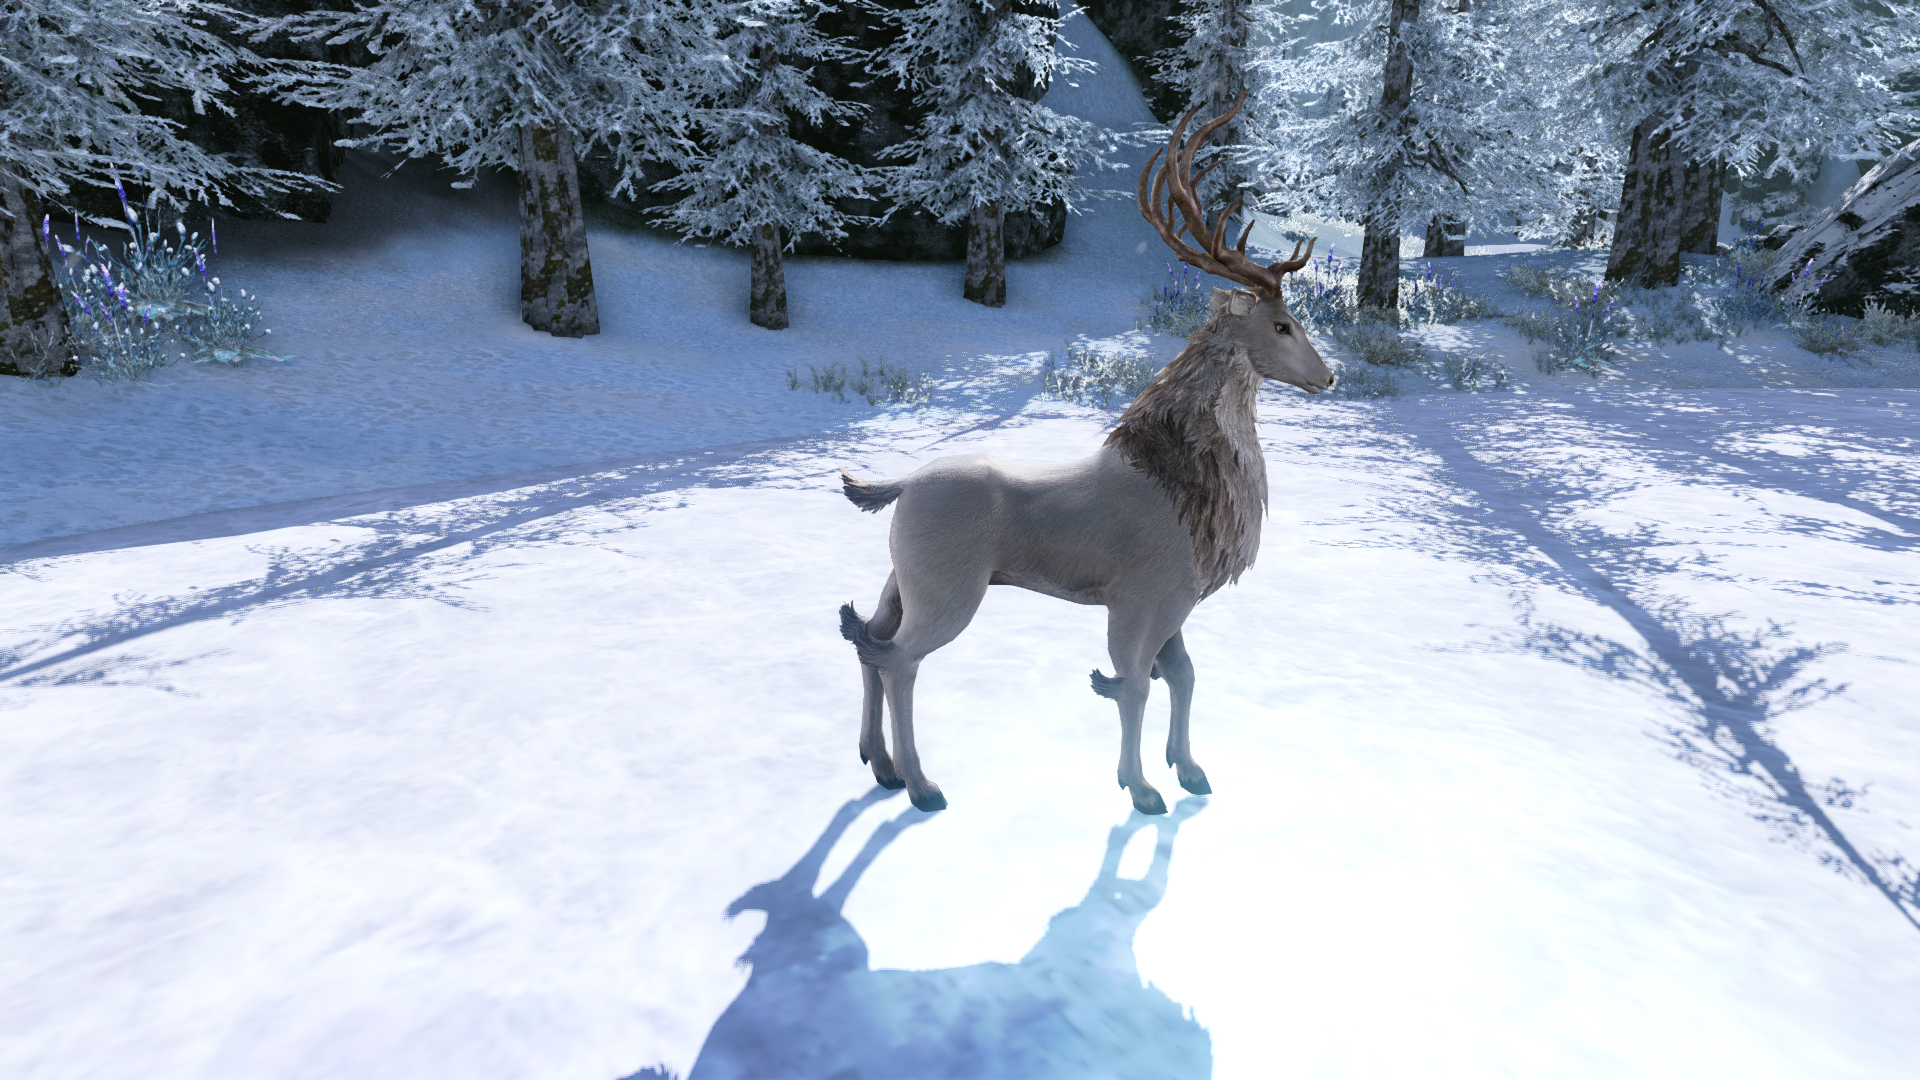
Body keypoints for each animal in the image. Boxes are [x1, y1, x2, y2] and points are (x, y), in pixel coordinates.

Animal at [837, 94, 1331, 815]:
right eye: (1282, 325)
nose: (1328, 376)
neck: (1198, 491)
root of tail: (895, 488)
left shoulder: (1178, 601)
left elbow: (1183, 675)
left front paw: (1190, 770)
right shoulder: (1141, 597)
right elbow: (1135, 684)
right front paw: (1141, 787)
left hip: (903, 578)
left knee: (867, 636)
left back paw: (879, 765)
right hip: (948, 588)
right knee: (901, 659)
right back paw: (923, 785)